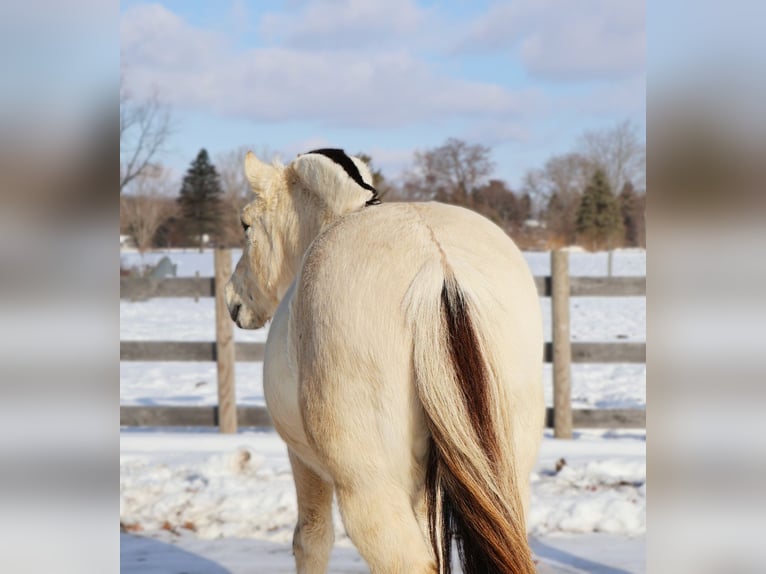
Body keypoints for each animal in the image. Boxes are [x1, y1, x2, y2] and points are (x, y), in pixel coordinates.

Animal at [225, 148, 544, 574]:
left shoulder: (304, 463)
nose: (232, 300)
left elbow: (310, 539)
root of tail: (437, 269)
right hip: (505, 482)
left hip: (368, 490)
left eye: (246, 225)